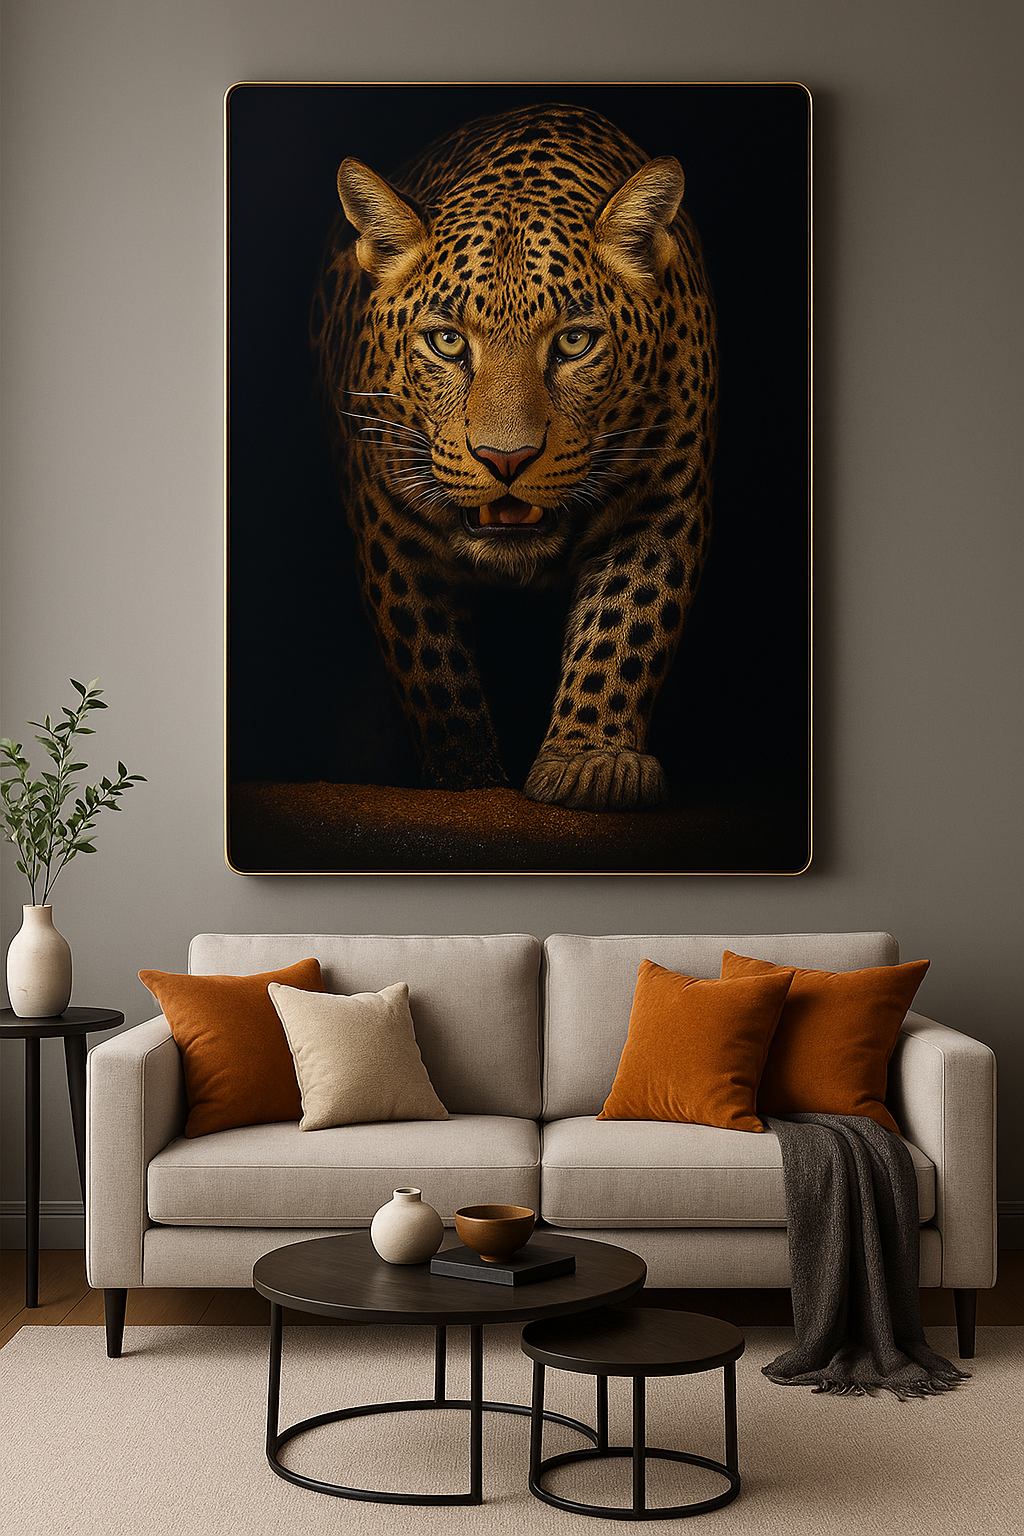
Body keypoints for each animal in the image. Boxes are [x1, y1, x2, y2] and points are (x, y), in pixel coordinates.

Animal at [310, 103, 717, 811]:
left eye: (574, 342)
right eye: (447, 342)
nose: (506, 460)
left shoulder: (663, 498)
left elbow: (627, 623)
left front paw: (590, 764)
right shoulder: (390, 525)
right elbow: (433, 665)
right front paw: (468, 779)